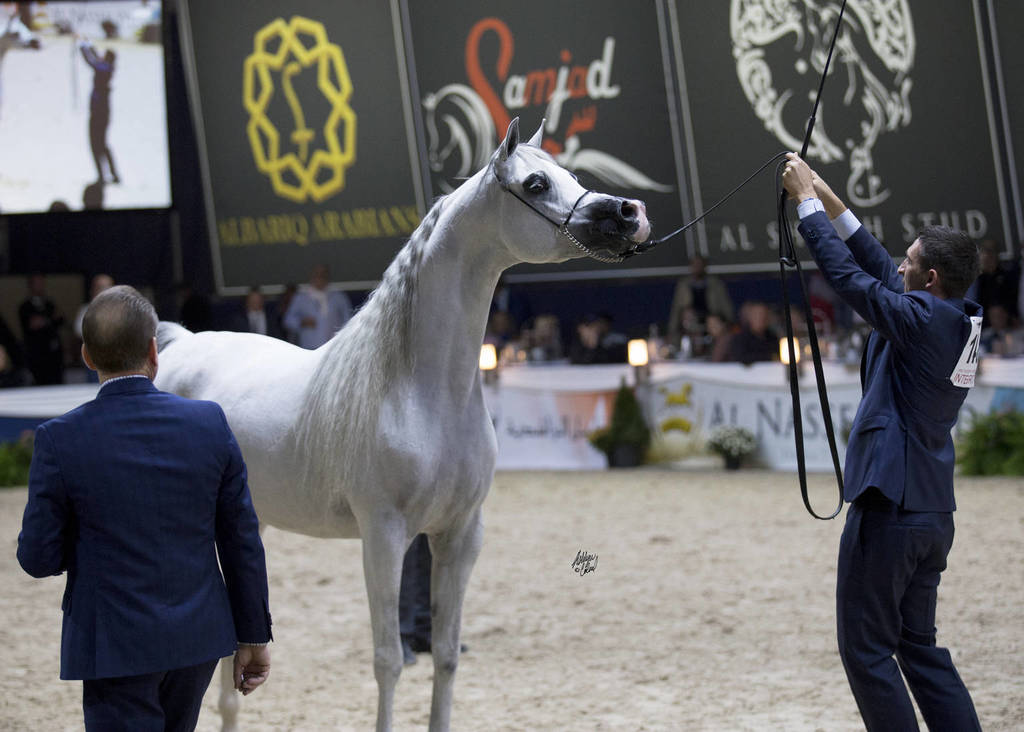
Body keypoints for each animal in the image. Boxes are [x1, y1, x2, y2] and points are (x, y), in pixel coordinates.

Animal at [154, 118, 652, 732]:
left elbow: (445, 654)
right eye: (536, 184)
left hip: (253, 522)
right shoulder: (384, 537)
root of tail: (180, 345)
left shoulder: (460, 535)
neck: (420, 391)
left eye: (574, 176)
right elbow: (389, 660)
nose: (630, 213)